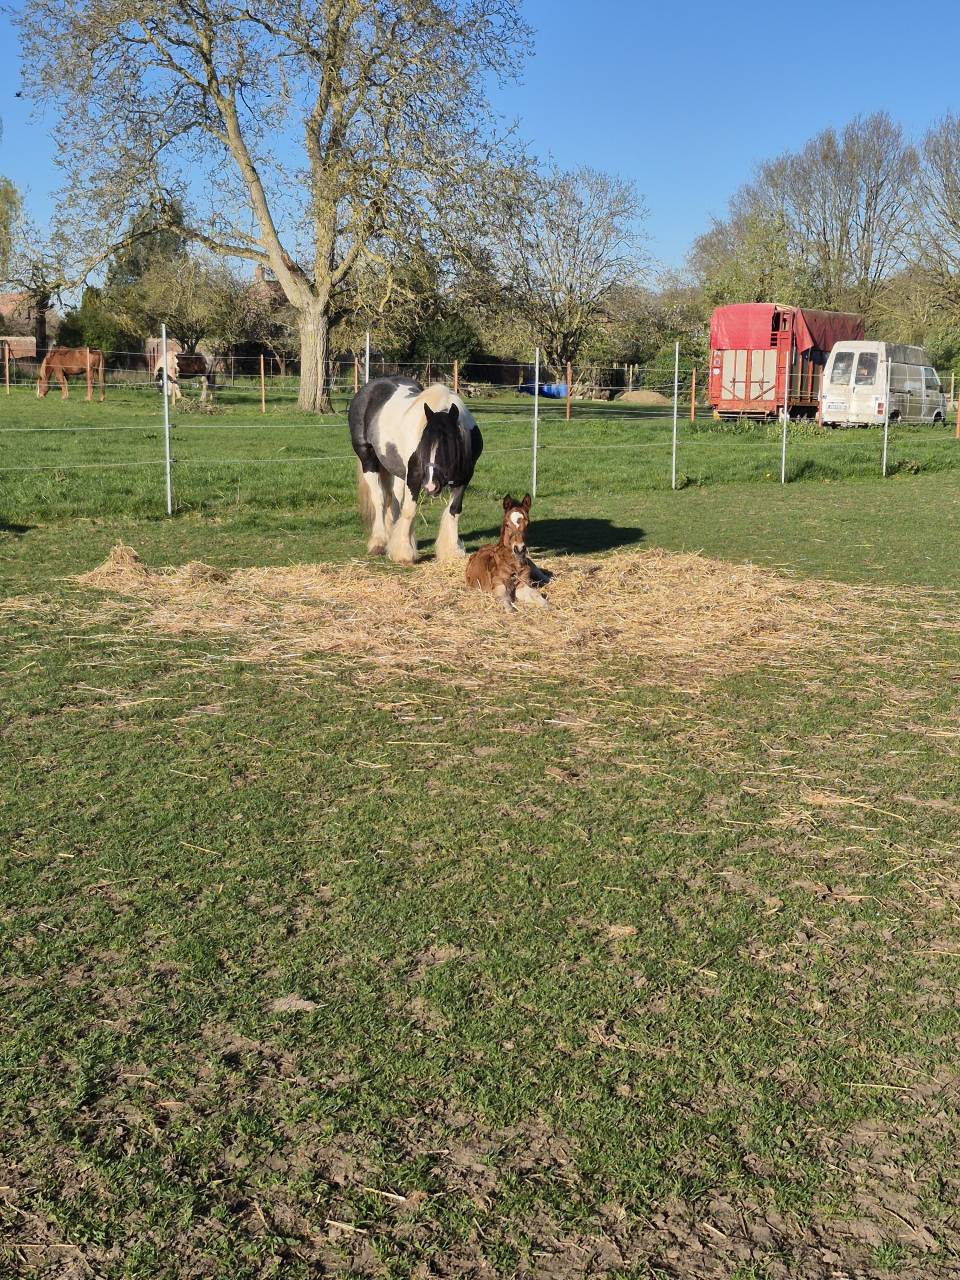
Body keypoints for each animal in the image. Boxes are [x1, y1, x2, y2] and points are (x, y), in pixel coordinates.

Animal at [348, 376, 483, 564]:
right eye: (423, 443)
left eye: (448, 445)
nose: (431, 486)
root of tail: (369, 388)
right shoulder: (414, 475)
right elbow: (409, 510)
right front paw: (404, 553)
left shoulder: (463, 478)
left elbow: (454, 510)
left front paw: (452, 551)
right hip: (367, 459)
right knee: (379, 499)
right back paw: (379, 542)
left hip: (397, 469)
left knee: (394, 499)